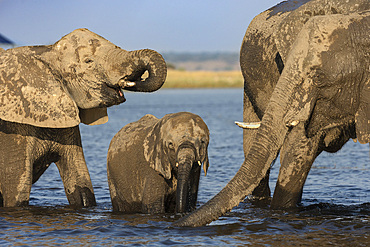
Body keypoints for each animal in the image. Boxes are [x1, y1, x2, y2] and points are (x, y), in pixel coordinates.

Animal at [0, 28, 166, 207]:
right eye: (88, 61)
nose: (137, 80)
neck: (47, 52)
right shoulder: (14, 129)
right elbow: (16, 190)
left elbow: (80, 180)